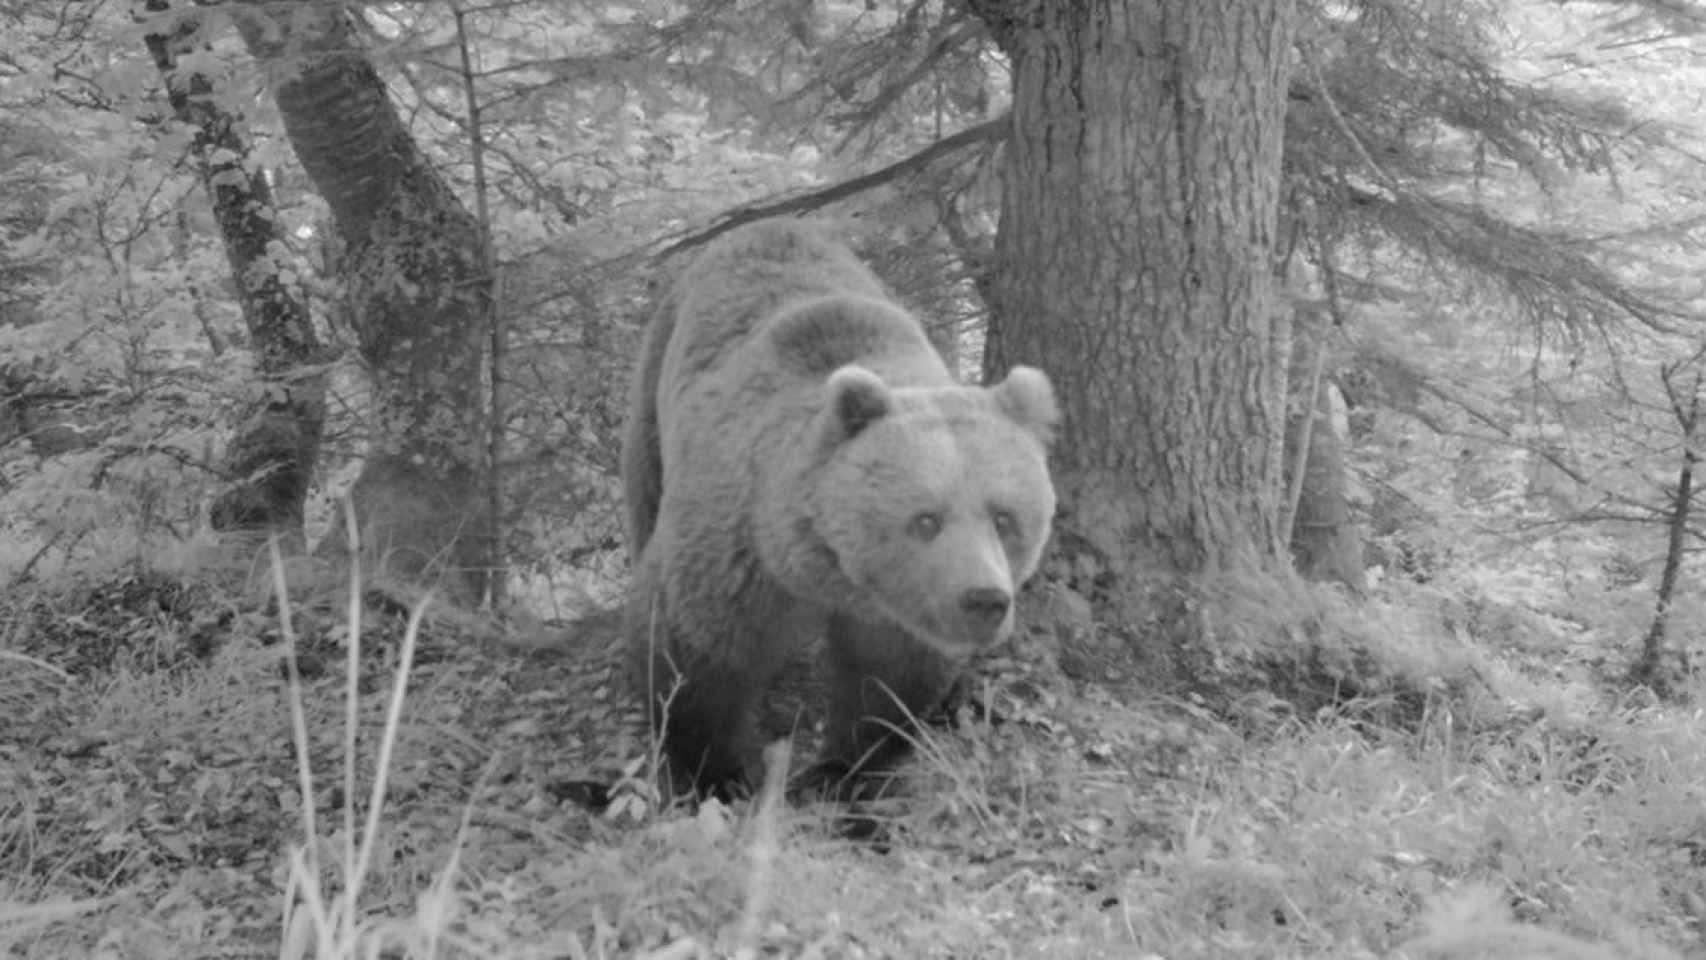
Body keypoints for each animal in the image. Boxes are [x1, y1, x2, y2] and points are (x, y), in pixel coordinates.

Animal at [620, 221, 1057, 801]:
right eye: (926, 518)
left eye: (1005, 517)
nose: (984, 599)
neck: (827, 572)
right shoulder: (738, 550)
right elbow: (694, 652)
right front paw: (721, 774)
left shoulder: (897, 610)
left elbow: (888, 680)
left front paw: (838, 770)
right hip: (654, 388)